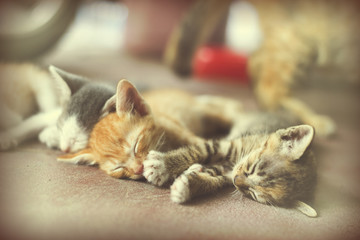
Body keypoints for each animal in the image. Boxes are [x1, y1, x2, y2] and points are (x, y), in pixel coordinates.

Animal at [143, 112, 318, 218]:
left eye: (253, 194)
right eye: (252, 168)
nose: (236, 181)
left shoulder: (227, 173)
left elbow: (214, 180)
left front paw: (188, 185)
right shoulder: (225, 145)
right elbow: (198, 151)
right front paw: (162, 165)